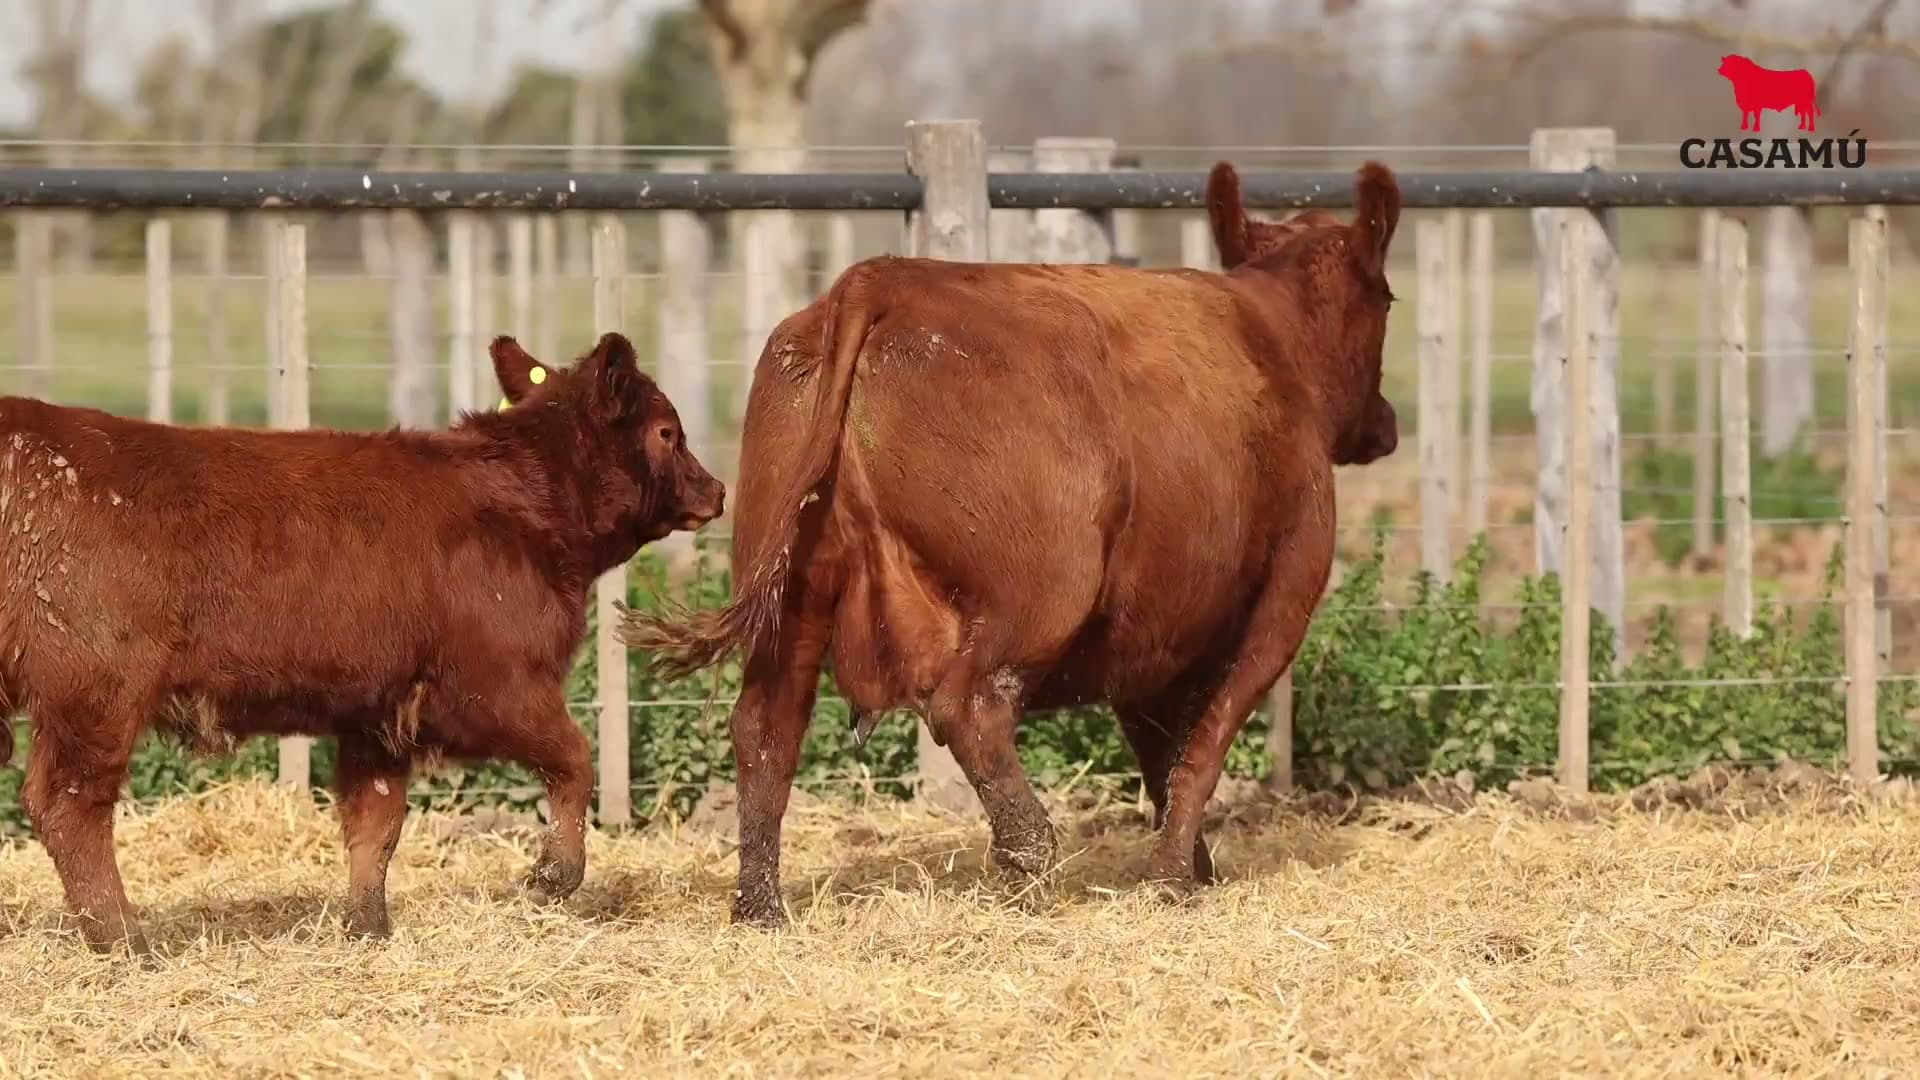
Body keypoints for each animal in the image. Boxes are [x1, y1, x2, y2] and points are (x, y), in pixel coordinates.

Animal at [0, 331, 724, 955]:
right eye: (667, 431)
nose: (716, 489)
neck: (524, 501)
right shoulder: (497, 684)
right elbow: (576, 758)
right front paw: (553, 875)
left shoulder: (377, 715)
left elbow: (375, 823)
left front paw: (367, 926)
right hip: (98, 692)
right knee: (69, 806)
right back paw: (127, 940)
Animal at [619, 160, 1403, 928]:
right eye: (1390, 298)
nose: (1387, 423)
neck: (1270, 339)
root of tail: (878, 281)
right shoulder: (1282, 599)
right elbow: (1204, 743)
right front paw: (1173, 879)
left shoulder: (1150, 638)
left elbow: (1163, 753)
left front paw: (1189, 867)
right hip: (1040, 594)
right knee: (971, 706)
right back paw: (1031, 856)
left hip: (793, 590)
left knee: (766, 727)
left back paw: (761, 908)